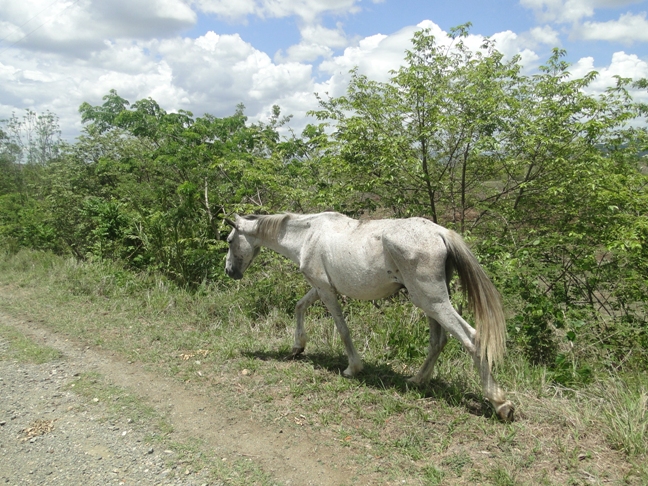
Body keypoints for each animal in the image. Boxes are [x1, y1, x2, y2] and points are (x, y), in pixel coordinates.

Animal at [225, 213, 512, 422]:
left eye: (228, 240)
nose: (229, 272)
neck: (308, 234)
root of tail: (441, 232)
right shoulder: (320, 288)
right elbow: (299, 307)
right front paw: (298, 346)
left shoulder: (326, 291)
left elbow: (342, 329)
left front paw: (352, 368)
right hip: (429, 302)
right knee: (438, 341)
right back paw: (417, 380)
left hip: (433, 301)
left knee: (472, 339)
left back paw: (500, 403)